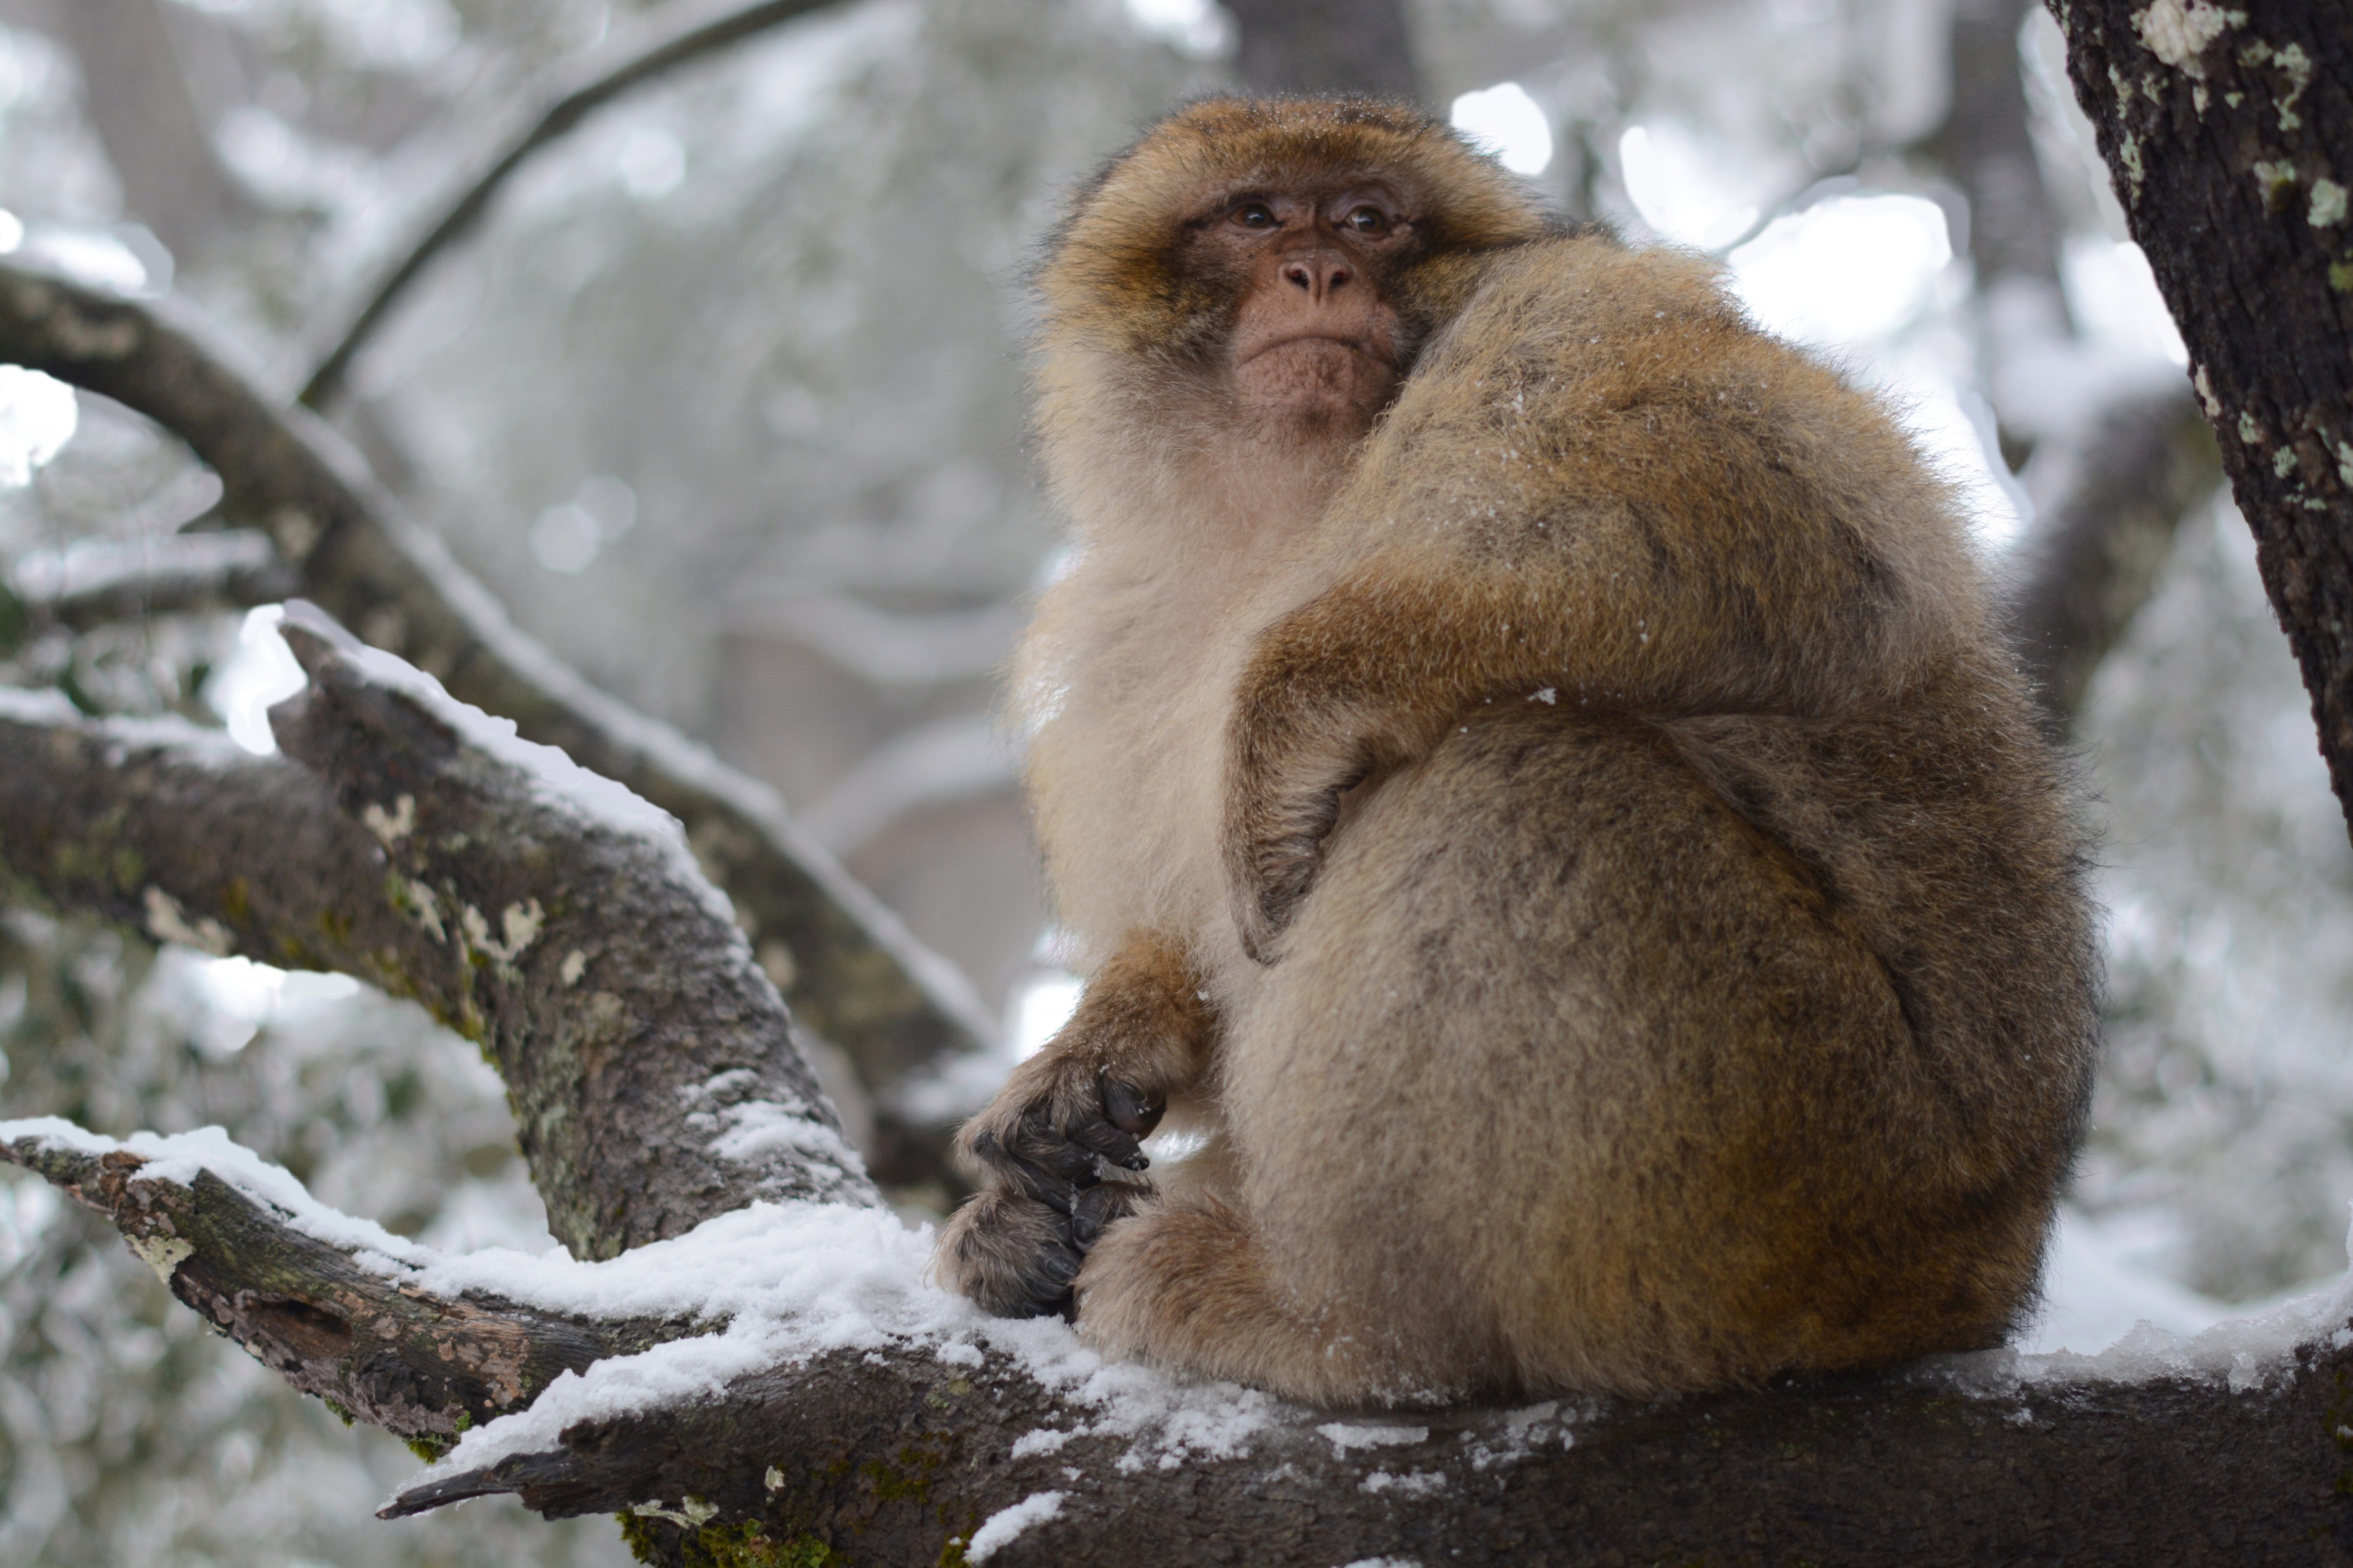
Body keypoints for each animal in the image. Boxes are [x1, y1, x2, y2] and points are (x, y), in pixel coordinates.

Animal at [932, 96, 2099, 1405]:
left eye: (1368, 219)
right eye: (1254, 214)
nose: (1317, 271)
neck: (1281, 510)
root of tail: (1984, 1270)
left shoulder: (1555, 321)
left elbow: (1782, 513)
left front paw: (1289, 696)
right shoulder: (1121, 641)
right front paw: (1088, 1068)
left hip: (1810, 1171)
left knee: (1517, 781)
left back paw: (1345, 1329)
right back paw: (1032, 1238)